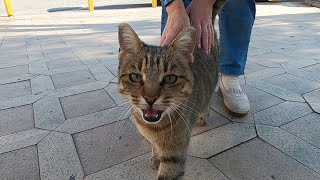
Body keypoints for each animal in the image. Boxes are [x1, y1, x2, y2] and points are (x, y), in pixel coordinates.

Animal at [118, 0, 228, 179]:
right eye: (135, 77)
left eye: (170, 78)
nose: (150, 98)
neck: (154, 129)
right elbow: (155, 146)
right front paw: (155, 157)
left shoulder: (175, 154)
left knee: (207, 100)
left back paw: (203, 116)